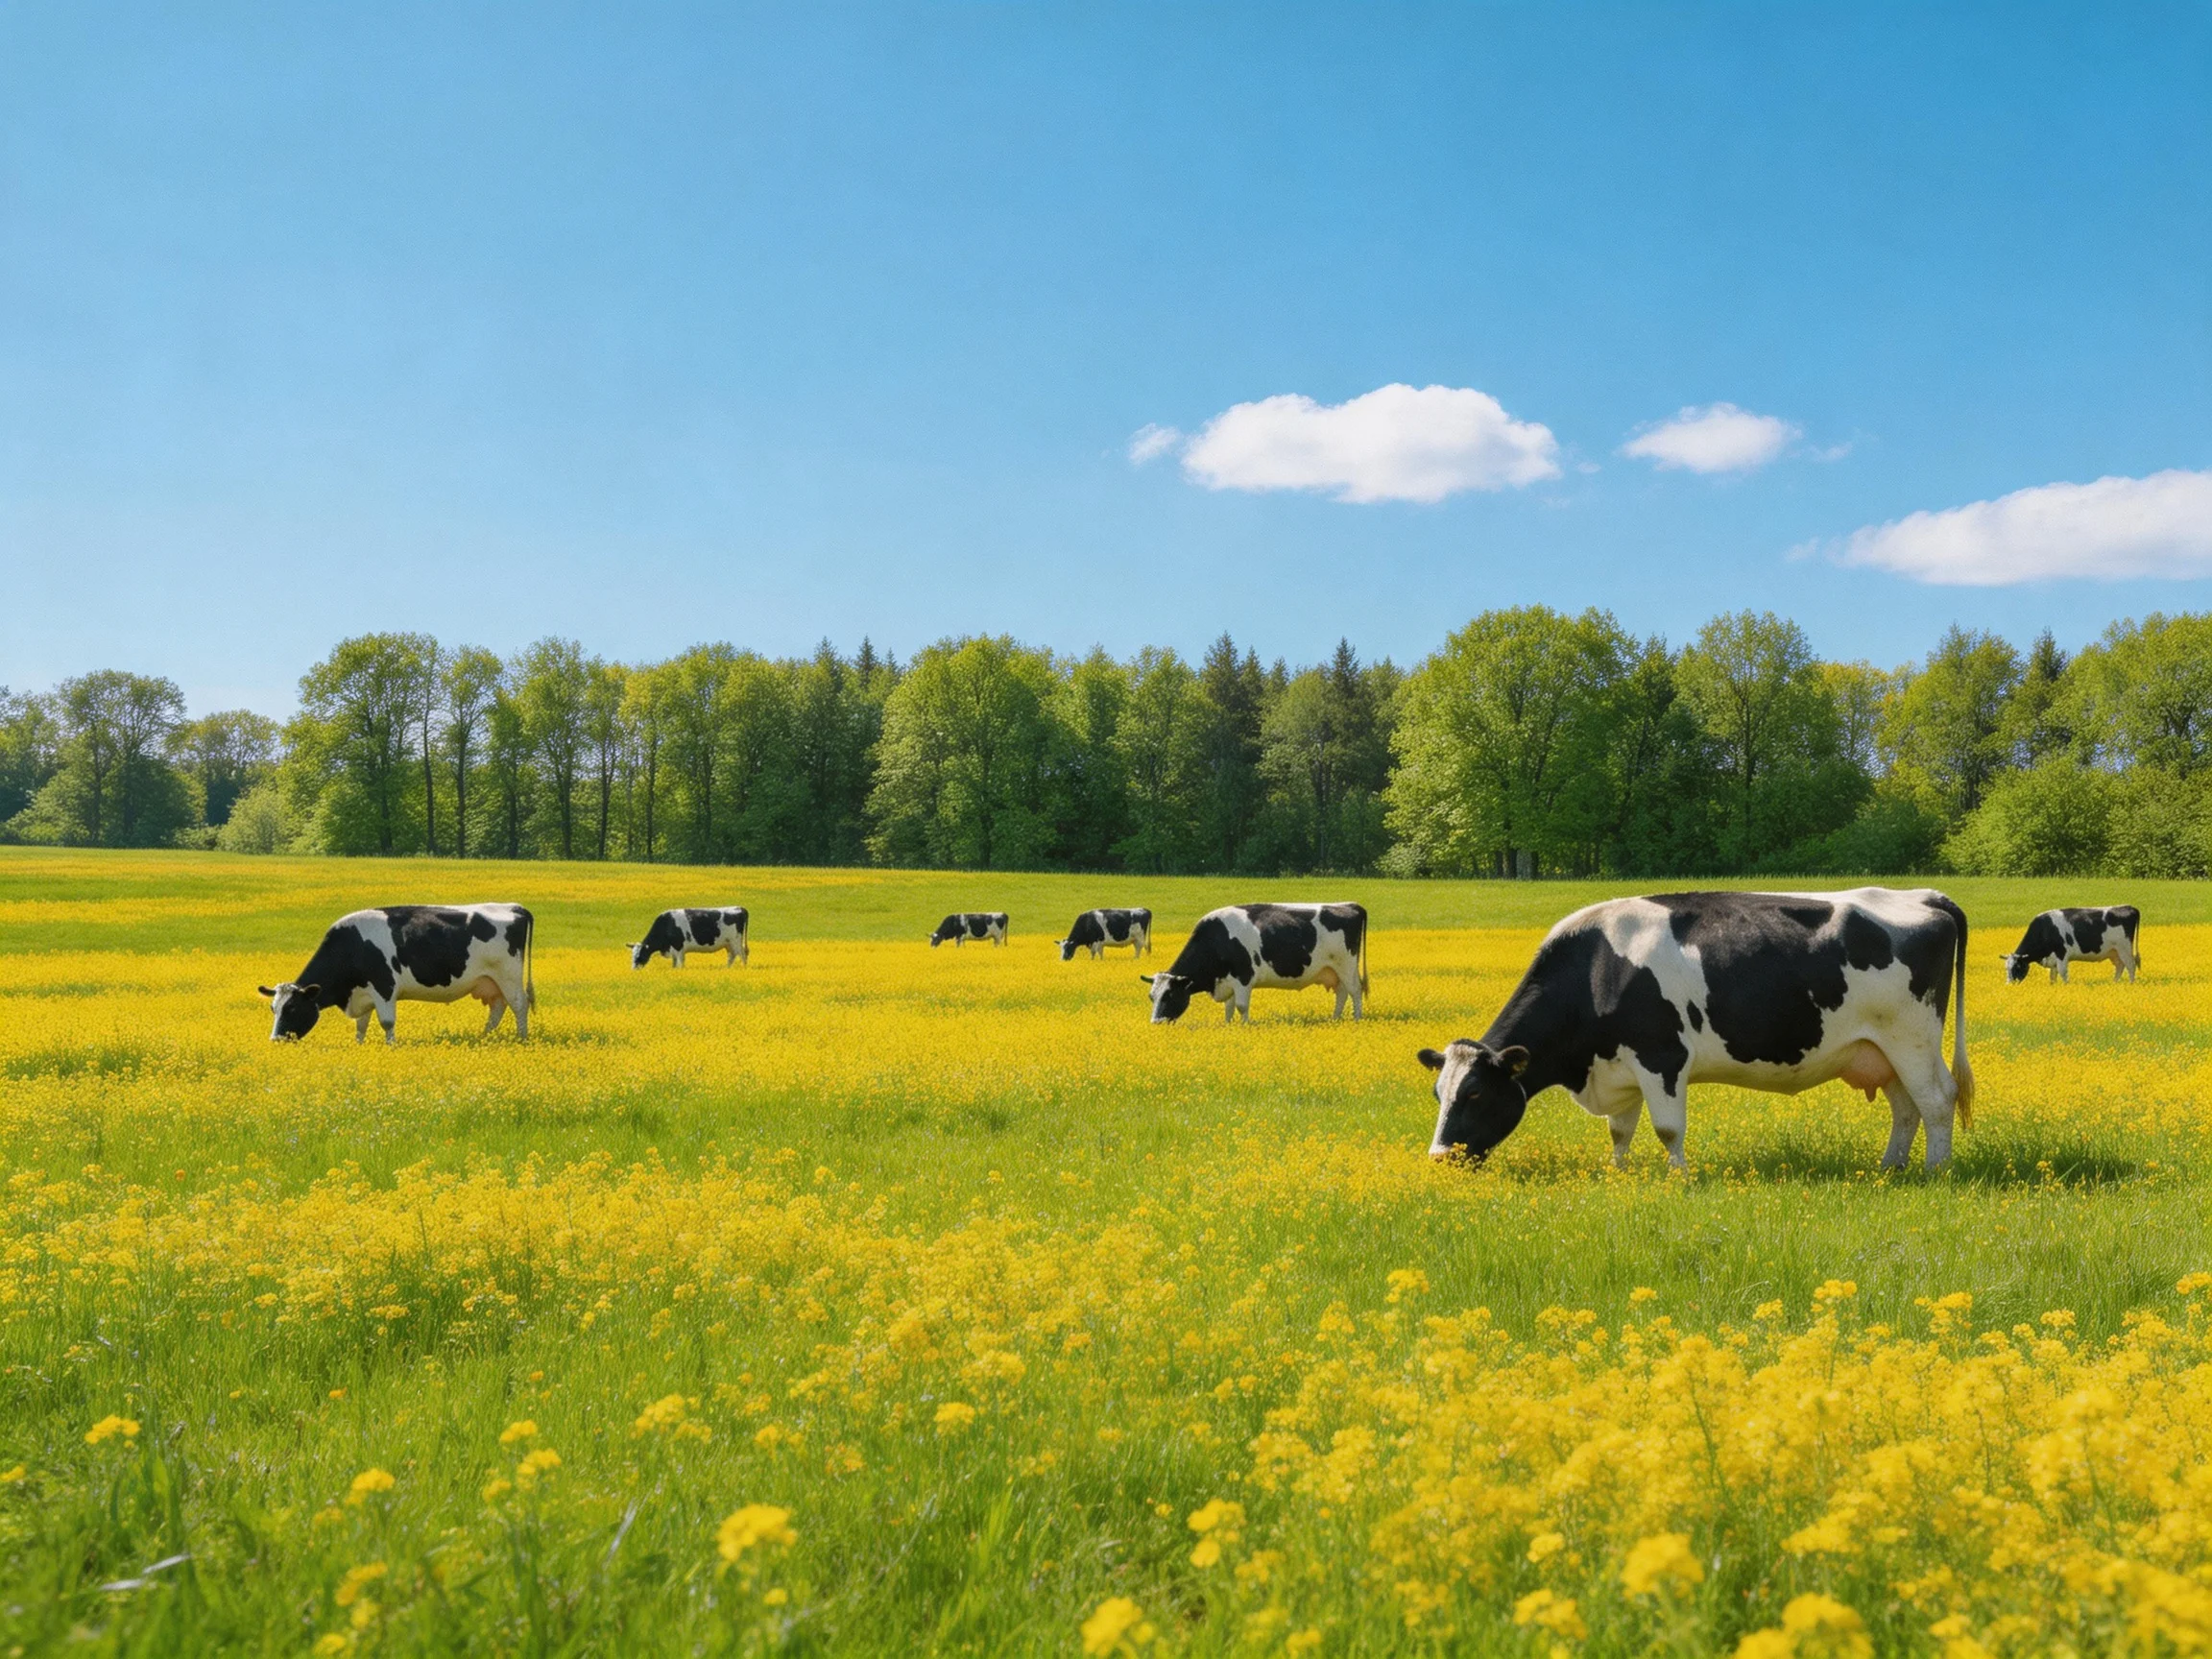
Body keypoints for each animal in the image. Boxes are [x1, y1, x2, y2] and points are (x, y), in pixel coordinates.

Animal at [260, 904, 535, 1045]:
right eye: (274, 1008)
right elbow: (361, 1026)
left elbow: (387, 1022)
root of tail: (513, 907)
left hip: (508, 975)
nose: (275, 1039)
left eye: (292, 1008)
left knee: (519, 1004)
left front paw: (390, 1046)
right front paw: (358, 1046)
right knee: (498, 1007)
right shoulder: (364, 992)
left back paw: (522, 1038)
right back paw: (484, 1037)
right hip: (490, 981)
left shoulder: (384, 987)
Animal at [1143, 903, 1367, 1023]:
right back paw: (1335, 1019)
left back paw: (1356, 1019)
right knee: (1341, 993)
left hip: (1346, 965)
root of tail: (1349, 905)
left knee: (1355, 991)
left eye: (1170, 995)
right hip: (1332, 970)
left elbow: (1241, 1006)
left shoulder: (1244, 977)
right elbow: (1229, 1007)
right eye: (1152, 997)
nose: (1156, 1023)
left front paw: (1245, 1026)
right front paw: (1228, 1025)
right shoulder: (1228, 980)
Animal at [1417, 888, 1973, 1172]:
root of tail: (1924, 896)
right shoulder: (1619, 1068)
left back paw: (1935, 1171)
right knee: (1906, 1107)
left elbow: (1667, 1129)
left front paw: (1678, 1179)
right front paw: (1619, 1175)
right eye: (1439, 1093)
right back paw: (1889, 1169)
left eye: (1475, 1094)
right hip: (1878, 1048)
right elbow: (1620, 1131)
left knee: (1937, 1099)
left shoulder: (1661, 1057)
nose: (1439, 1157)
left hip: (1912, 1038)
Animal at [2002, 906, 2140, 984]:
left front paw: (2066, 986)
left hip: (2124, 948)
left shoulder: (2062, 953)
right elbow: (2053, 975)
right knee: (2120, 966)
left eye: (2018, 967)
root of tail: (2129, 907)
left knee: (2131, 965)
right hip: (2113, 951)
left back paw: (2131, 984)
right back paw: (2114, 983)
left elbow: (2063, 972)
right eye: (2006, 968)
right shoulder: (2053, 958)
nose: (2009, 985)